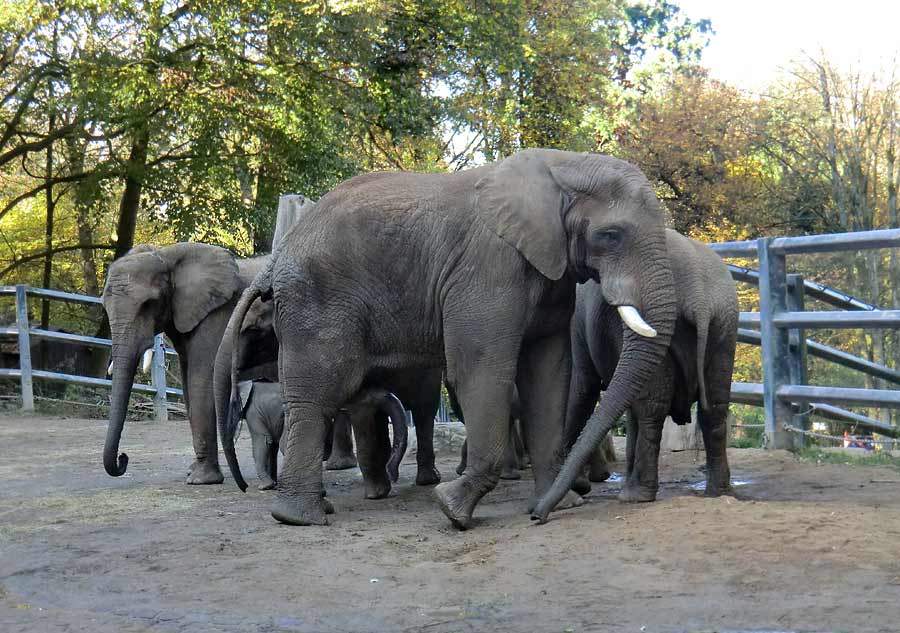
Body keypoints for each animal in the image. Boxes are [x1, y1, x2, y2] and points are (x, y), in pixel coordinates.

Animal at [103, 242, 270, 484]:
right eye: (105, 307)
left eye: (148, 304)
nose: (123, 458)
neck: (166, 257)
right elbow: (187, 385)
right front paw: (194, 472)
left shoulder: (216, 316)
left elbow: (200, 380)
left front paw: (201, 479)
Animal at [564, 230, 740, 502]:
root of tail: (699, 300)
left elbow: (584, 386)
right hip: (725, 326)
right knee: (715, 406)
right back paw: (718, 492)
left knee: (651, 408)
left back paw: (635, 496)